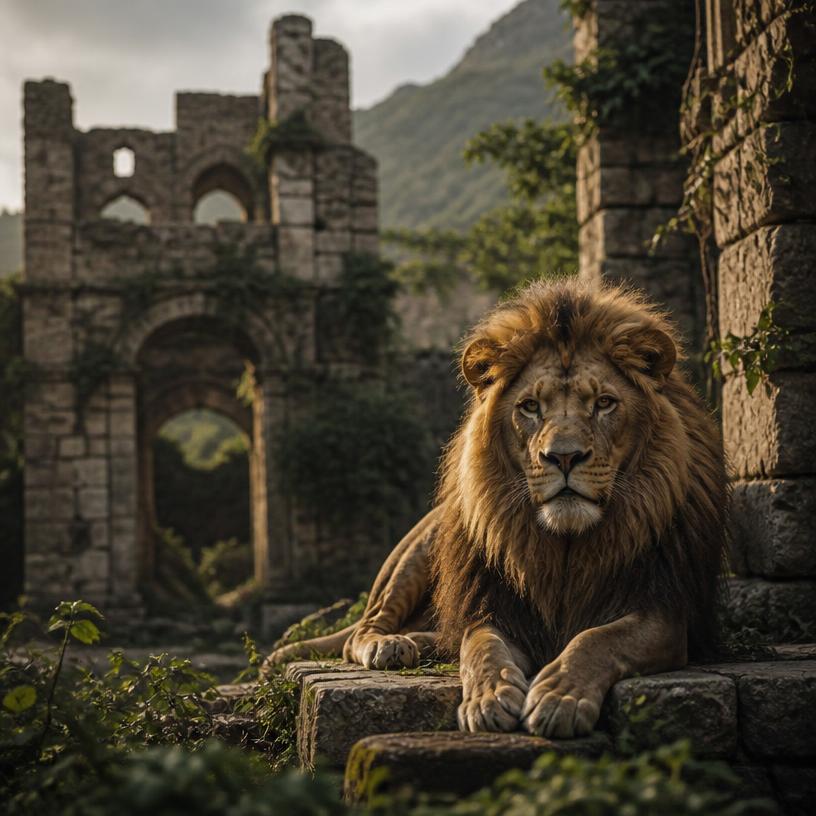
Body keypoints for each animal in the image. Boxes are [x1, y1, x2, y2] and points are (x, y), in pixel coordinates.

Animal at [263, 278, 727, 739]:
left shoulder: (664, 613)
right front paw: (488, 698)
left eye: (604, 403)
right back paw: (390, 645)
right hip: (419, 552)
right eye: (530, 407)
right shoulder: (493, 609)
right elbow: (481, 649)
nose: (563, 457)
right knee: (360, 631)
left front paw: (560, 696)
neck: (564, 546)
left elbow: (597, 639)